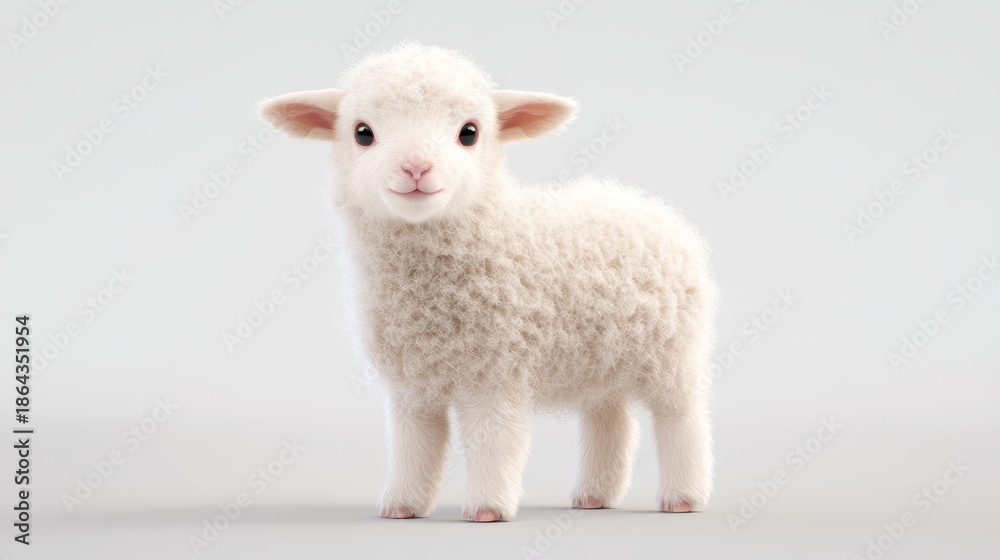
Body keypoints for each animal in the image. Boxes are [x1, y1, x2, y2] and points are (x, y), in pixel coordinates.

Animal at [260, 43, 719, 522]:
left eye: (469, 133)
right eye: (362, 133)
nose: (416, 167)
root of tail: (644, 204)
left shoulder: (497, 370)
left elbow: (494, 440)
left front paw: (488, 507)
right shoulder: (412, 382)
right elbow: (414, 443)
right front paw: (402, 504)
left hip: (672, 352)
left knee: (682, 417)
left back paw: (684, 497)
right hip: (599, 358)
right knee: (608, 417)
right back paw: (595, 495)